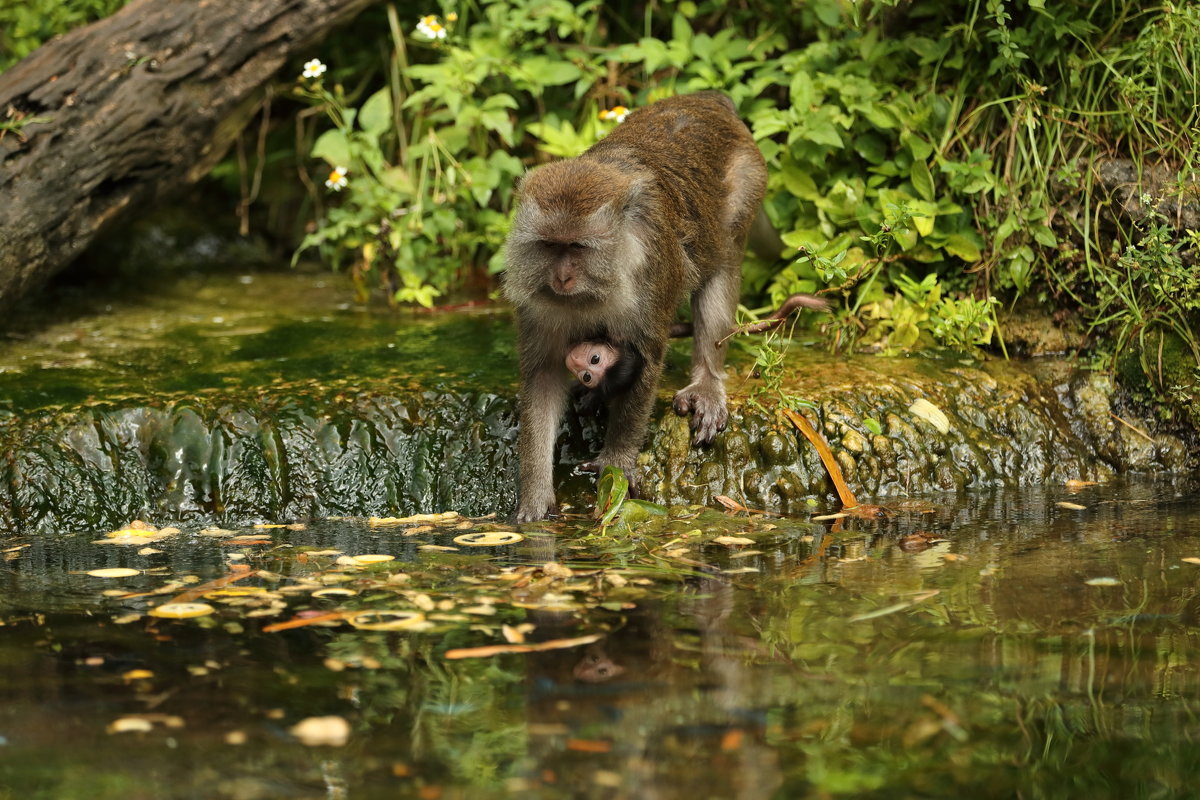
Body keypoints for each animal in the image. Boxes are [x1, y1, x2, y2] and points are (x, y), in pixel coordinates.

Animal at [504, 90, 768, 522]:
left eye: (577, 246)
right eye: (549, 246)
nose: (561, 278)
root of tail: (705, 98)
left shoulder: (650, 280)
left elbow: (644, 361)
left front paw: (617, 458)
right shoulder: (537, 306)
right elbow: (542, 378)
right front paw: (536, 492)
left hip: (747, 184)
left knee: (721, 270)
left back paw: (707, 381)